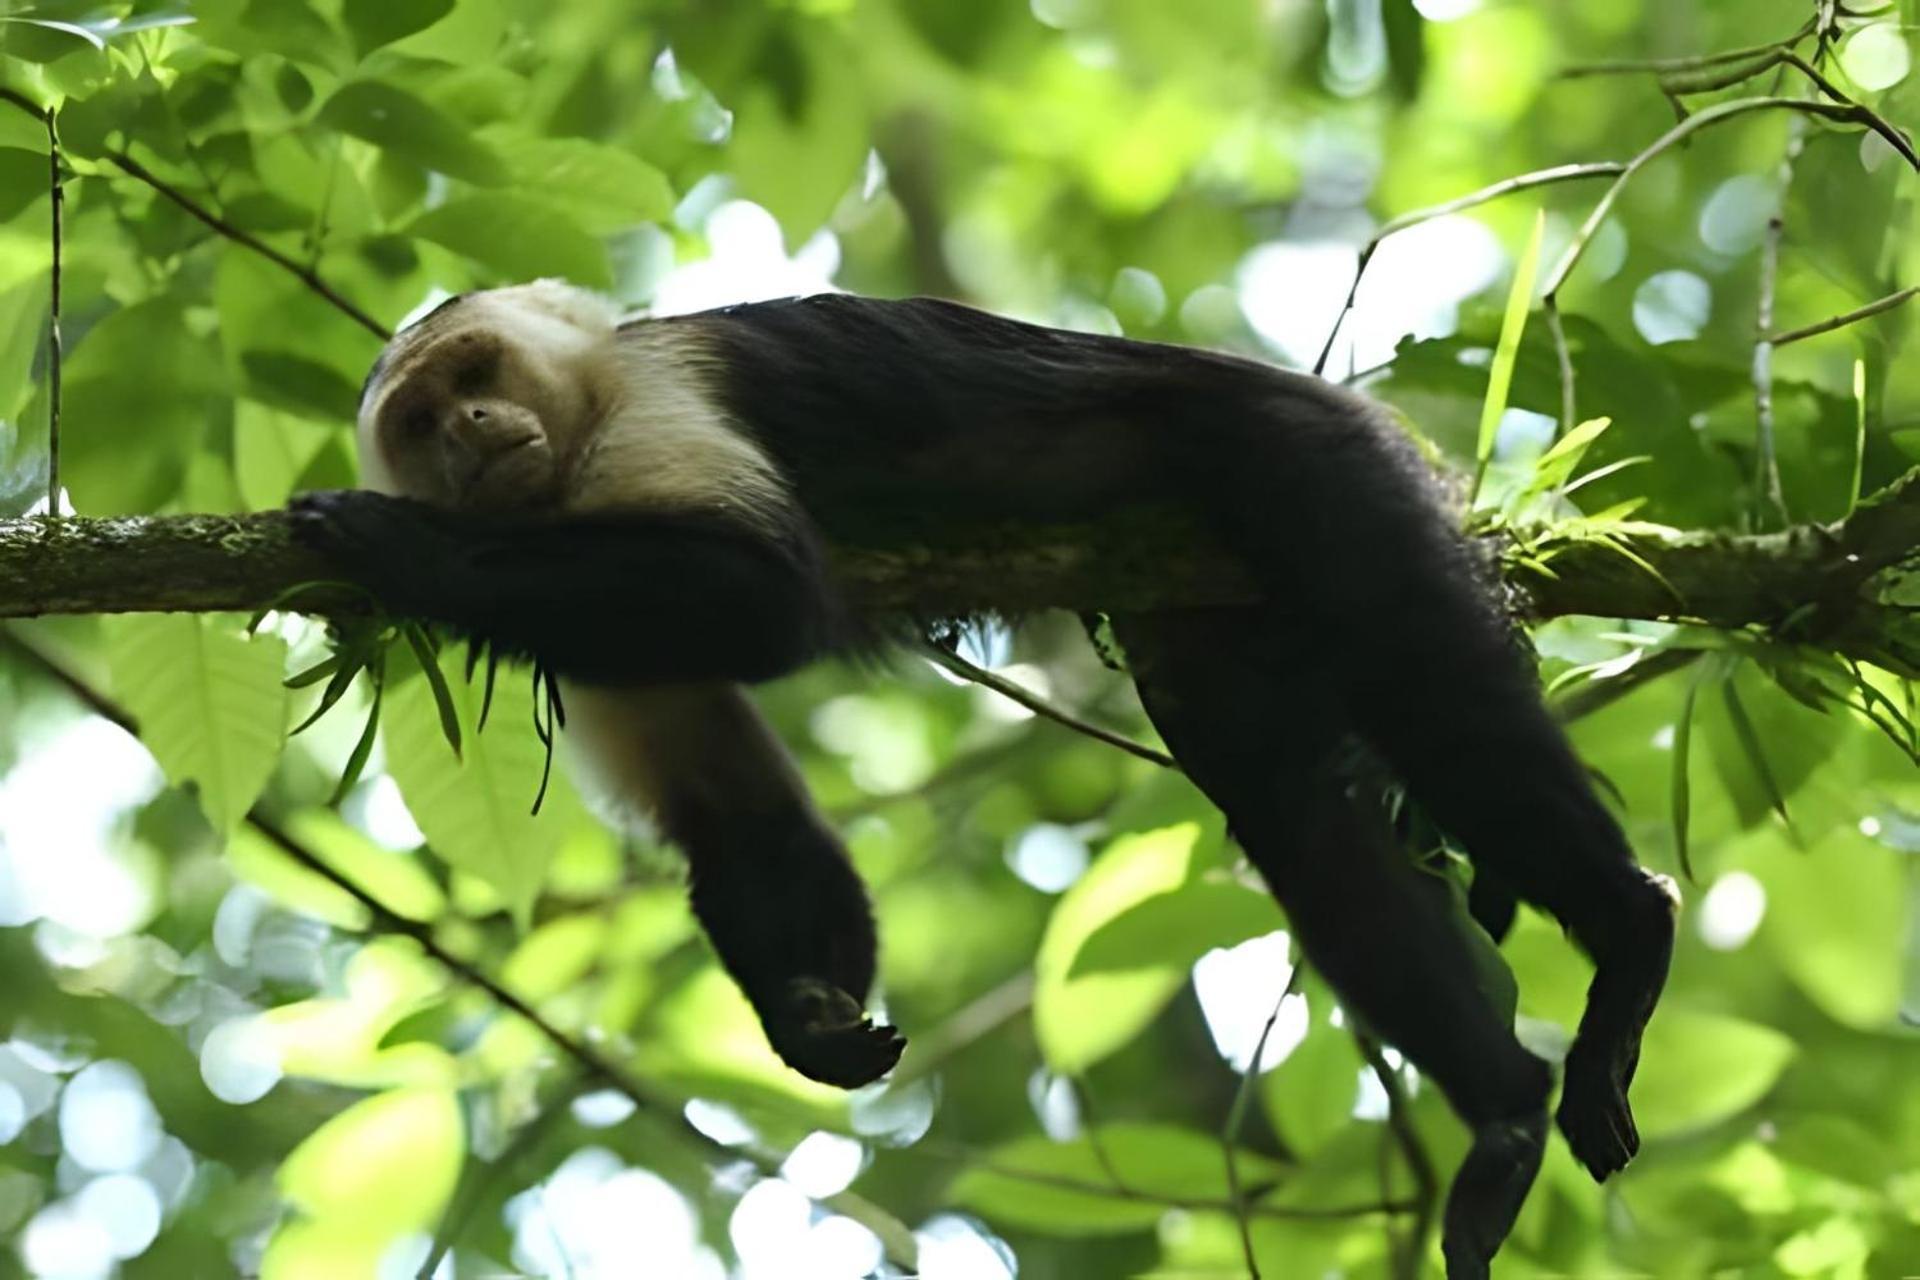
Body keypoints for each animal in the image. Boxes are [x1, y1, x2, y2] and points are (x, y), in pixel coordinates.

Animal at [288, 280, 1681, 1280]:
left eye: (477, 377)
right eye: (420, 420)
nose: (470, 432)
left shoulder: (649, 400)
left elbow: (767, 596)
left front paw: (405, 543)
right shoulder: (598, 631)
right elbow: (738, 816)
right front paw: (809, 1019)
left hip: (1312, 459)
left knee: (1421, 669)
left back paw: (1629, 930)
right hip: (1210, 599)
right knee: (1287, 802)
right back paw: (1502, 1116)